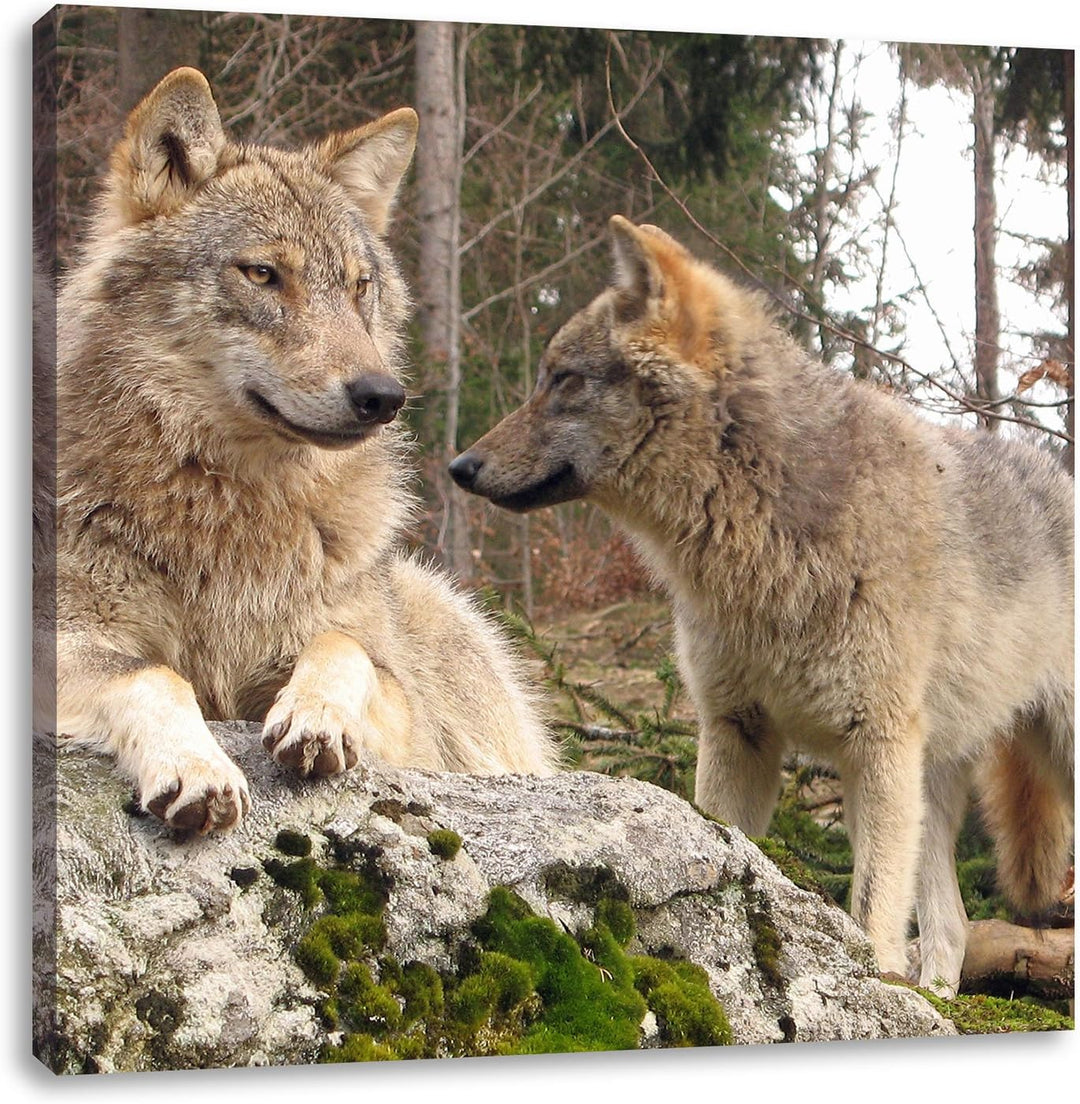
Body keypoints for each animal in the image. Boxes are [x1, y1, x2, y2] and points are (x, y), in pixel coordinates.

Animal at [42, 68, 558, 835]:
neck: (228, 508)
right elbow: (153, 673)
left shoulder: (402, 710)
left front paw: (317, 716)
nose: (383, 395)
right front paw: (195, 765)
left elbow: (344, 648)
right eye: (262, 274)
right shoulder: (70, 641)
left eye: (358, 285)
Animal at [450, 216, 1074, 995]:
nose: (459, 466)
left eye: (563, 381)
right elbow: (725, 854)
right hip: (931, 786)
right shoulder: (736, 730)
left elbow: (871, 909)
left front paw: (867, 987)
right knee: (952, 928)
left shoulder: (875, 745)